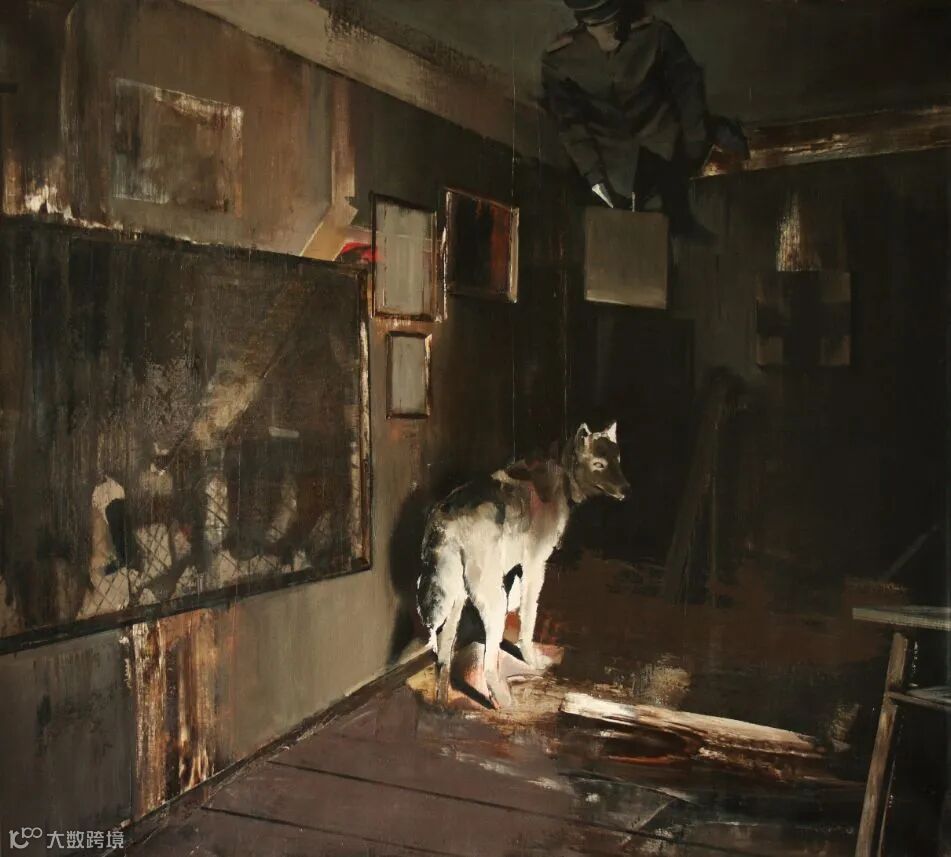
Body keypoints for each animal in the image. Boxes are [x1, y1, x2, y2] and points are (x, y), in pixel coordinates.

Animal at [417, 422, 630, 707]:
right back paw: (503, 702)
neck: (561, 476)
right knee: (488, 664)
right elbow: (528, 619)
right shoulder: (535, 568)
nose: (627, 489)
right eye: (599, 464)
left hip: (456, 601)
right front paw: (532, 659)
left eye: (617, 460)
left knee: (443, 656)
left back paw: (441, 705)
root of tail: (448, 519)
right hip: (494, 602)